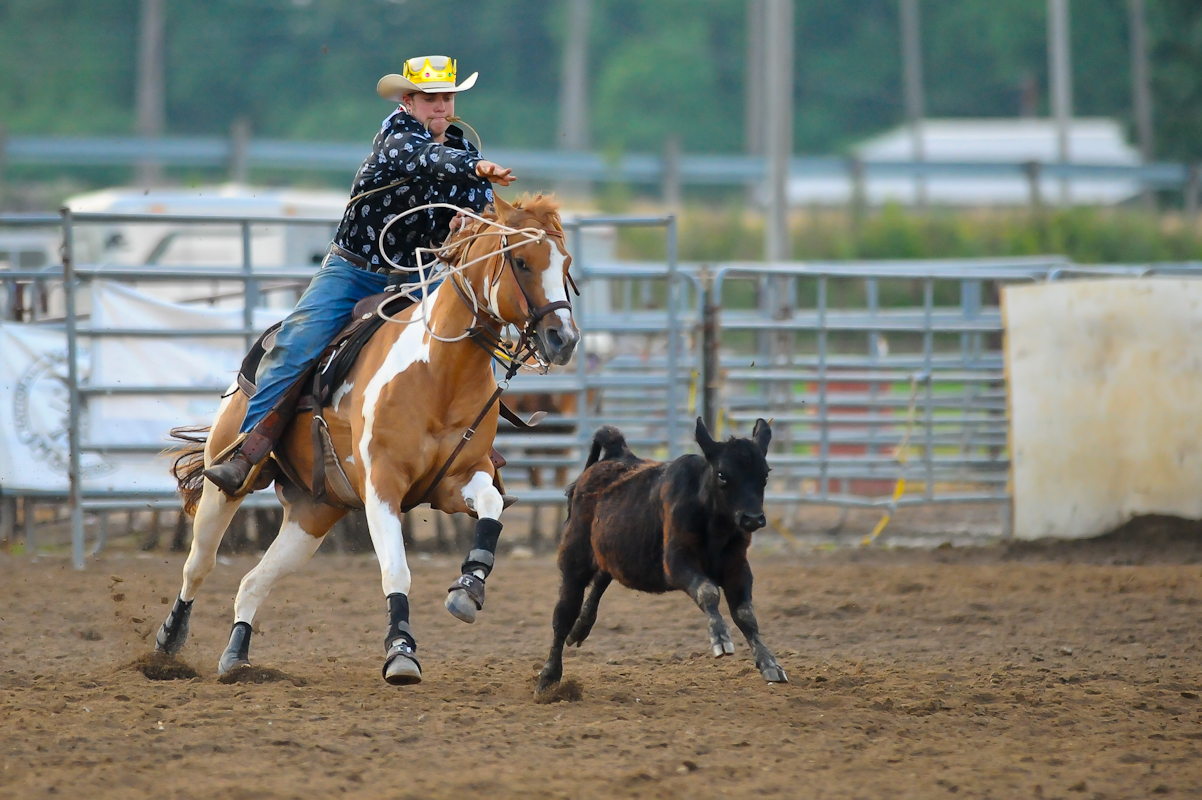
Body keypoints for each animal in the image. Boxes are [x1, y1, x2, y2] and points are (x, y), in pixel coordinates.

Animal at [154, 195, 579, 686]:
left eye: (566, 264)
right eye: (522, 261)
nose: (564, 339)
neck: (440, 372)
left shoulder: (456, 481)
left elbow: (491, 506)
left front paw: (468, 587)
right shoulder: (383, 485)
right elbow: (396, 570)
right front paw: (401, 653)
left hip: (314, 513)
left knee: (252, 581)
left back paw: (237, 656)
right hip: (227, 485)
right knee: (199, 563)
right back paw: (168, 642)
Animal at [536, 418, 788, 695]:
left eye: (765, 474)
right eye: (722, 474)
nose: (753, 518)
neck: (713, 521)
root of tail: (615, 453)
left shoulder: (738, 567)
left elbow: (745, 614)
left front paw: (769, 663)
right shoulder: (677, 562)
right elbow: (708, 592)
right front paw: (720, 638)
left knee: (602, 578)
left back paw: (580, 628)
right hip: (574, 559)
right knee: (563, 614)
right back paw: (549, 676)